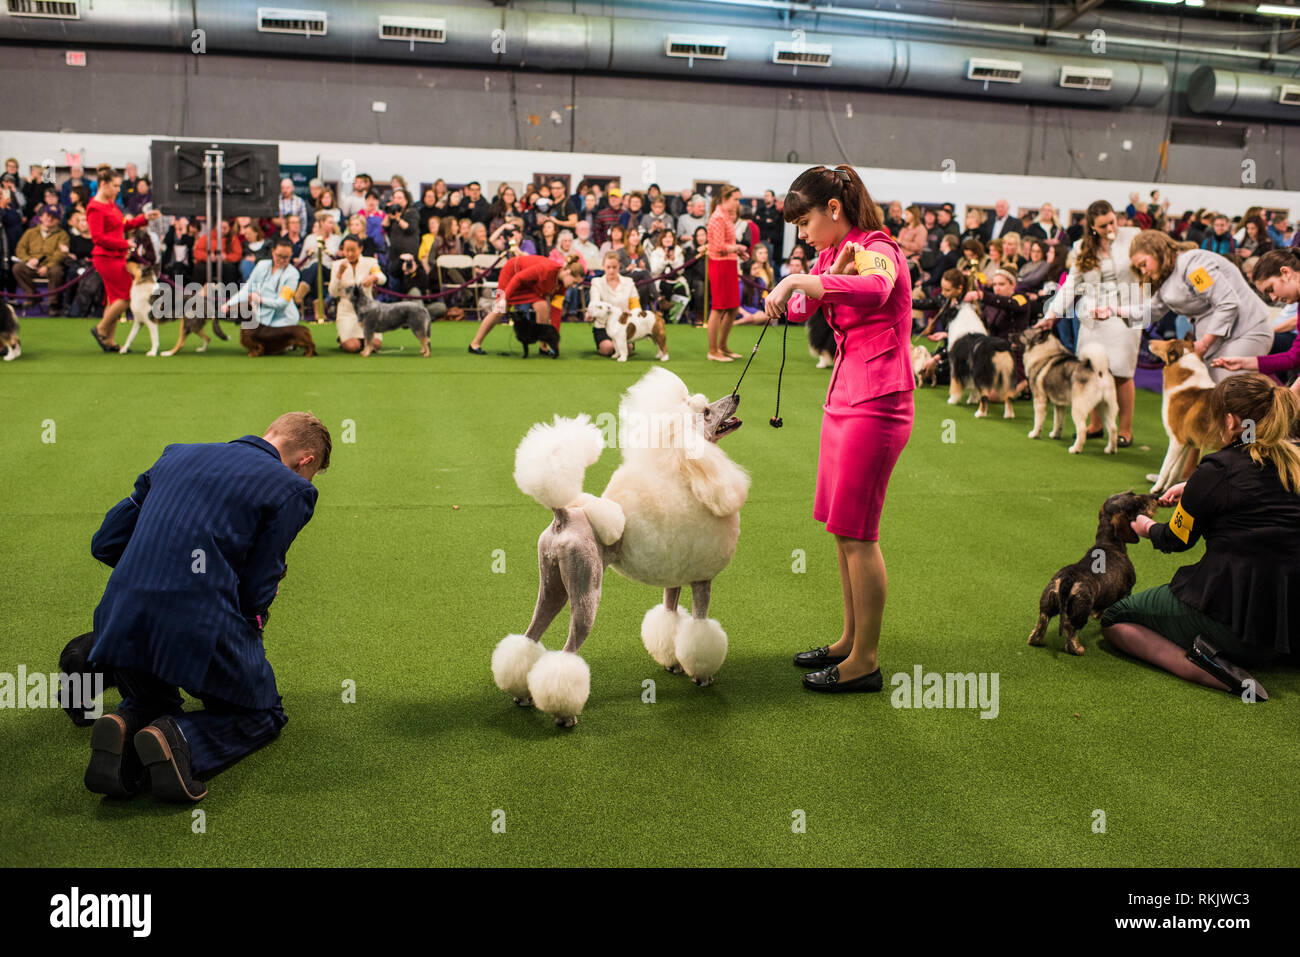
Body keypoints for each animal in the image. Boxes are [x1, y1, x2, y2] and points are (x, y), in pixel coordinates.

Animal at [488, 369, 754, 728]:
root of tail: (563, 517)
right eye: (707, 413)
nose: (736, 396)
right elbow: (700, 629)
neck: (687, 473)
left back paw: (522, 694)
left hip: (552, 585)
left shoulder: (675, 578)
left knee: (529, 637)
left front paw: (671, 663)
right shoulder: (702, 580)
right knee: (567, 653)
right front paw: (702, 676)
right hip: (586, 589)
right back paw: (565, 715)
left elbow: (669, 618)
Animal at [1013, 327, 1118, 455]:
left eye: (1023, 334)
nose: (1009, 335)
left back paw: (1076, 449)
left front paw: (1035, 434)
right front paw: (1055, 435)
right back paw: (1111, 449)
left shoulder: (1039, 400)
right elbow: (1058, 421)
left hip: (1078, 409)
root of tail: (1099, 371)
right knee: (1113, 428)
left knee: (1082, 430)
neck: (1045, 352)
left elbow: (1038, 420)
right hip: (1104, 408)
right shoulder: (1059, 405)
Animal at [1029, 488, 1164, 655]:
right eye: (1137, 502)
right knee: (1069, 626)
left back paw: (1036, 640)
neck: (1109, 543)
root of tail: (1068, 579)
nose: (1156, 496)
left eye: (1131, 492)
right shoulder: (1126, 592)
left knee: (1043, 619)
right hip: (1080, 610)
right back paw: (1077, 648)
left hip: (1048, 601)